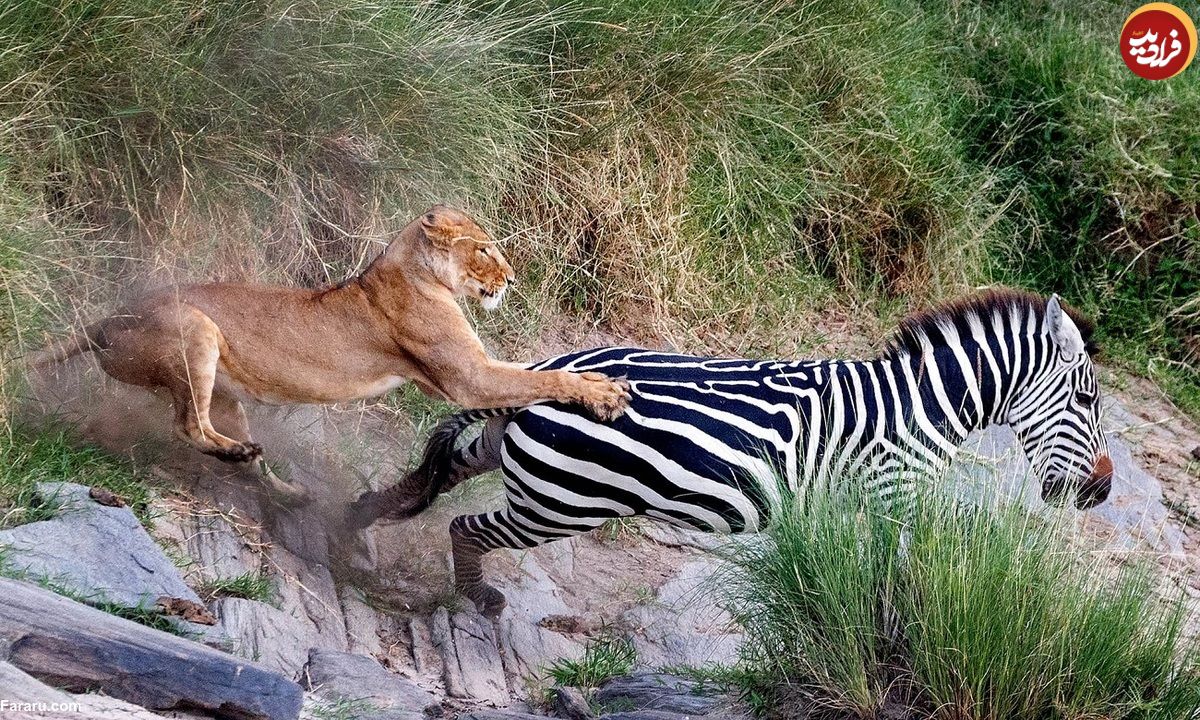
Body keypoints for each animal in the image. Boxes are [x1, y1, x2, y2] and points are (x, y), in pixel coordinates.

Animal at [350, 289, 1113, 614]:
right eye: (1087, 401)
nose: (1104, 491)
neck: (918, 405)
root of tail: (550, 366)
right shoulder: (893, 494)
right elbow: (897, 573)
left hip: (520, 463)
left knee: (445, 469)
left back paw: (354, 525)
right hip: (562, 502)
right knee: (465, 523)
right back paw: (474, 598)